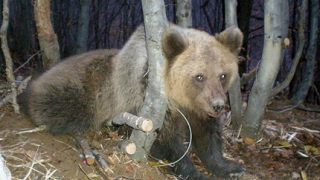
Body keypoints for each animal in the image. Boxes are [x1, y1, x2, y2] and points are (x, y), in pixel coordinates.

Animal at [24, 23, 245, 179]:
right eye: (199, 76)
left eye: (223, 75)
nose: (218, 105)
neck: (179, 98)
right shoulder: (146, 101)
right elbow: (166, 142)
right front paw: (194, 172)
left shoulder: (197, 109)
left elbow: (208, 138)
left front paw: (231, 167)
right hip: (78, 92)